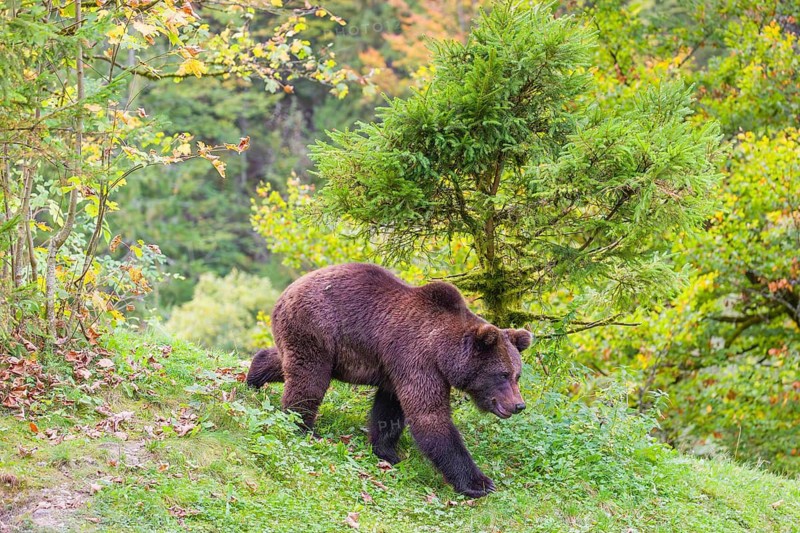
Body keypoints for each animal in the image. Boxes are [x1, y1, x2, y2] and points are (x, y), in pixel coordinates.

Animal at [246, 263, 531, 497]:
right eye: (502, 374)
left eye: (517, 375)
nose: (519, 405)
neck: (442, 352)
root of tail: (286, 292)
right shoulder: (417, 360)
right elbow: (429, 417)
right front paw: (480, 483)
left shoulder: (397, 370)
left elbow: (389, 410)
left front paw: (388, 452)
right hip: (316, 330)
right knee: (309, 378)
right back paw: (303, 426)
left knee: (286, 362)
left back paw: (253, 377)